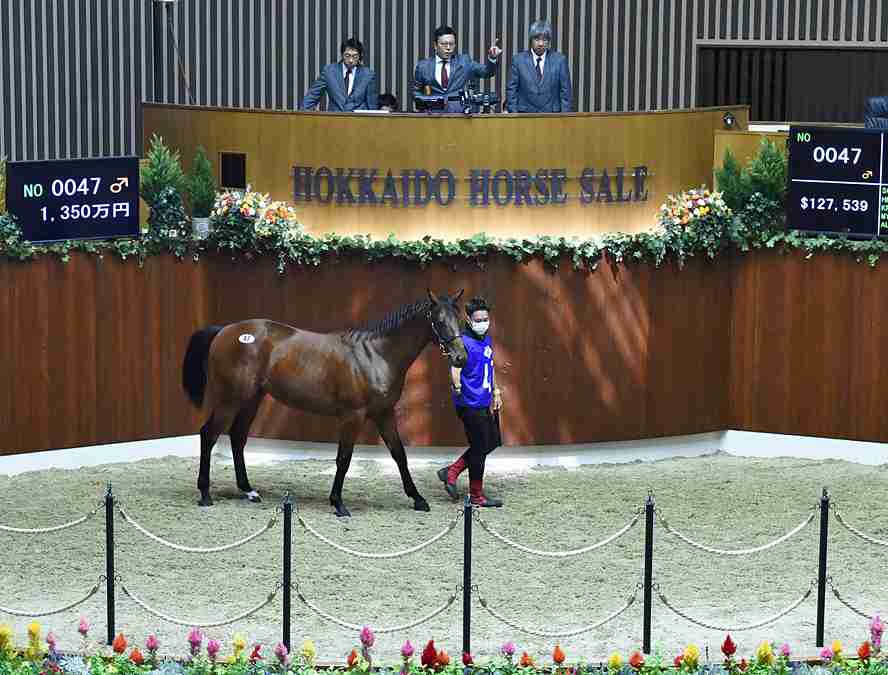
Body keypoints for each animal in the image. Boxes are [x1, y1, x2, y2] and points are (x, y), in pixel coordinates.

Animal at [180, 289, 468, 516]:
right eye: (439, 321)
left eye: (462, 321)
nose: (460, 358)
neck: (376, 356)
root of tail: (224, 331)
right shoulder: (353, 417)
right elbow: (344, 458)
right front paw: (338, 503)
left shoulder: (384, 414)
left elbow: (399, 454)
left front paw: (418, 499)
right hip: (230, 399)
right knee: (208, 434)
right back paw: (205, 494)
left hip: (251, 400)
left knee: (237, 438)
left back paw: (249, 491)